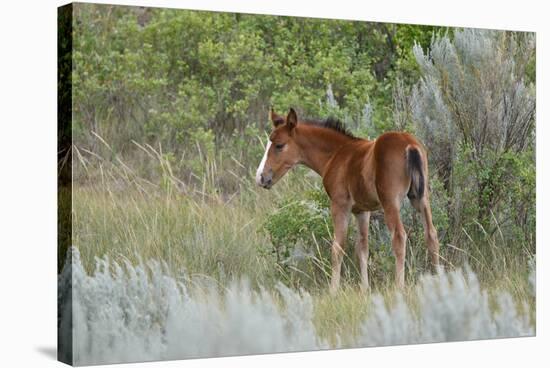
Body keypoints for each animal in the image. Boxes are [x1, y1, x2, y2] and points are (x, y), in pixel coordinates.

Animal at [256, 108, 442, 292]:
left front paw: (333, 291)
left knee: (399, 237)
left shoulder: (340, 205)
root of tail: (410, 145)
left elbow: (337, 248)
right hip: (421, 198)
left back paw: (399, 287)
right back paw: (437, 280)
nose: (261, 177)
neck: (336, 154)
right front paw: (365, 289)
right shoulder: (362, 211)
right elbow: (363, 247)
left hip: (391, 203)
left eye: (279, 145)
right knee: (431, 234)